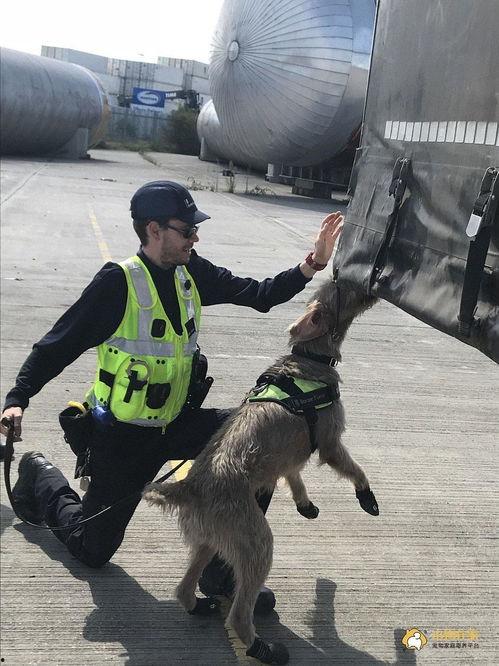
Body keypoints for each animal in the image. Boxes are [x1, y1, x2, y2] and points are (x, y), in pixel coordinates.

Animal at [143, 278, 379, 665]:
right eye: (341, 289)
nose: (367, 286)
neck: (307, 359)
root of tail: (190, 487)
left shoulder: (289, 456)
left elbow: (293, 474)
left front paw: (304, 502)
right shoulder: (331, 444)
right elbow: (355, 468)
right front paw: (367, 496)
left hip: (210, 539)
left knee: (184, 587)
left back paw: (199, 606)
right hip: (256, 541)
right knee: (240, 612)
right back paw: (262, 648)